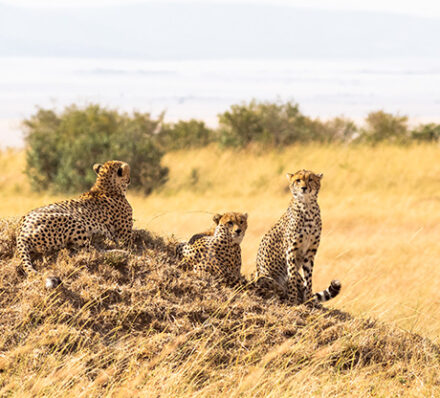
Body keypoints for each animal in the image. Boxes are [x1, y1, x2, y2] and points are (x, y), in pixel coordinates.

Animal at [254, 170, 340, 304]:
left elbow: (308, 278)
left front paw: (309, 300)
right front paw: (293, 299)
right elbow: (292, 276)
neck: (307, 206)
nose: (304, 188)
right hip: (261, 275)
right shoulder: (291, 250)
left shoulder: (310, 251)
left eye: (310, 179)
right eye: (298, 180)